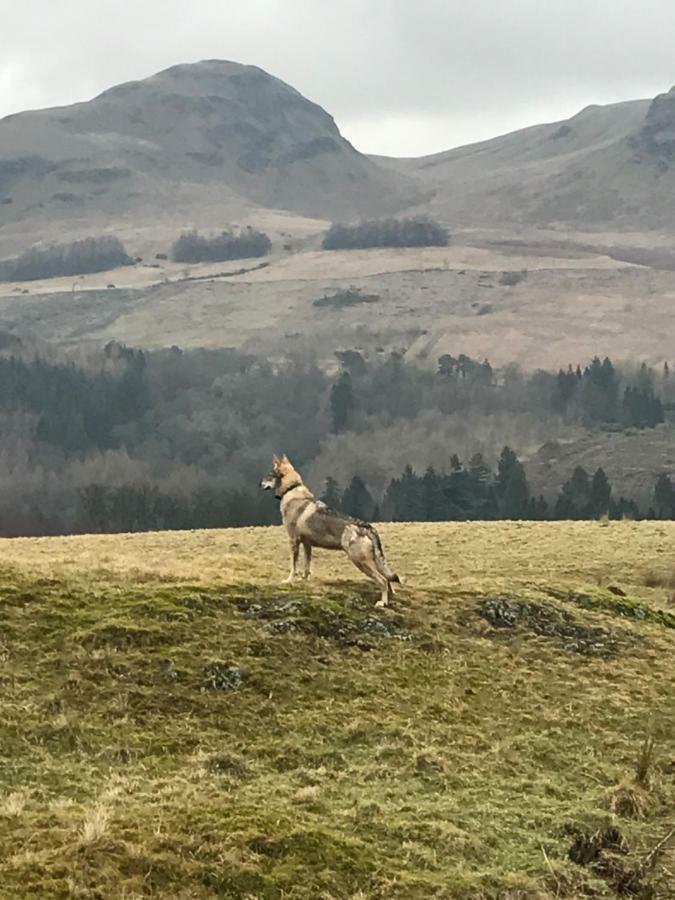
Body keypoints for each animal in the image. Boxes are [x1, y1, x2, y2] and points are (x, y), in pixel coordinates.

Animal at [262, 454, 402, 608]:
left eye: (269, 475)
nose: (260, 484)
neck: (292, 490)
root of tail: (368, 528)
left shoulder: (294, 540)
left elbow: (294, 566)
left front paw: (289, 581)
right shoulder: (307, 544)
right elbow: (306, 567)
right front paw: (303, 581)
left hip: (360, 562)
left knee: (382, 580)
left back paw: (382, 603)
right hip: (372, 562)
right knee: (388, 581)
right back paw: (389, 601)